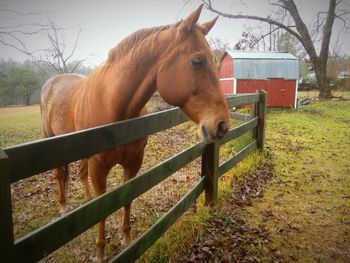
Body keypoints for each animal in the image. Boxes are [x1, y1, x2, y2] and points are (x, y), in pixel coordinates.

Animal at [40, 5, 230, 262]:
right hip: (52, 142)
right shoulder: (99, 167)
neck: (114, 105)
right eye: (197, 61)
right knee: (60, 175)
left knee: (80, 174)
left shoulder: (133, 163)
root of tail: (51, 83)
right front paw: (100, 251)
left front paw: (127, 239)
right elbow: (102, 208)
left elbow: (126, 198)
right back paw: (62, 207)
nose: (222, 125)